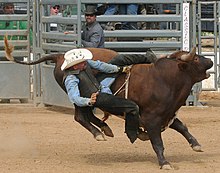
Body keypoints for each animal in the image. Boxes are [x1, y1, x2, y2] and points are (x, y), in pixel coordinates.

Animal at [3, 36, 213, 169]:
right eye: (195, 58)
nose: (211, 62)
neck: (165, 79)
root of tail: (60, 56)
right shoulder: (152, 118)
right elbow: (157, 142)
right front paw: (164, 163)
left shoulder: (167, 113)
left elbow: (182, 126)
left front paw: (196, 144)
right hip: (78, 99)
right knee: (81, 116)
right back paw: (99, 133)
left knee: (88, 115)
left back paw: (105, 128)